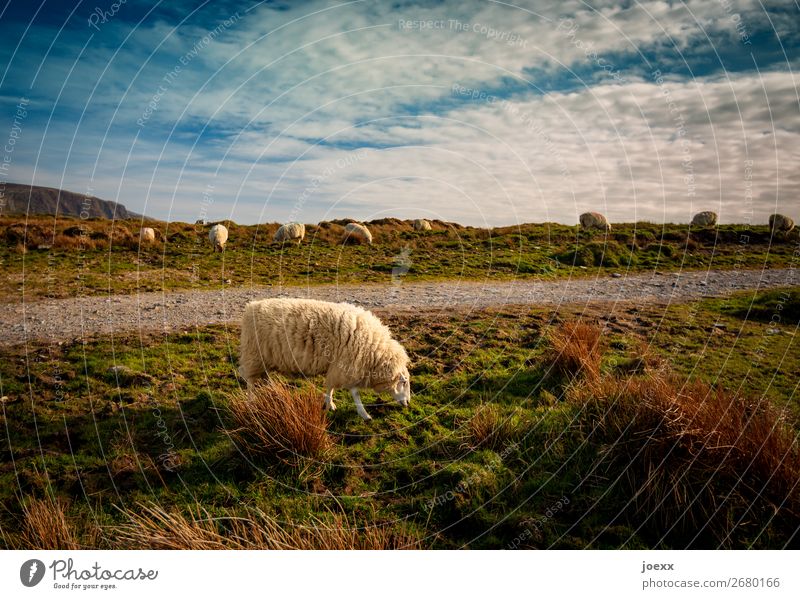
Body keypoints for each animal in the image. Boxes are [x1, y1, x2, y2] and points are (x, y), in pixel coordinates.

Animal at [239, 296, 410, 420]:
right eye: (403, 382)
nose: (408, 403)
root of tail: (250, 307)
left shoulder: (341, 366)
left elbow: (331, 386)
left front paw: (330, 403)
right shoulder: (347, 365)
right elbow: (354, 392)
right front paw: (364, 414)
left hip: (266, 357)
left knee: (265, 376)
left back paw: (273, 391)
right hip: (254, 354)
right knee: (251, 382)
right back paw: (251, 402)